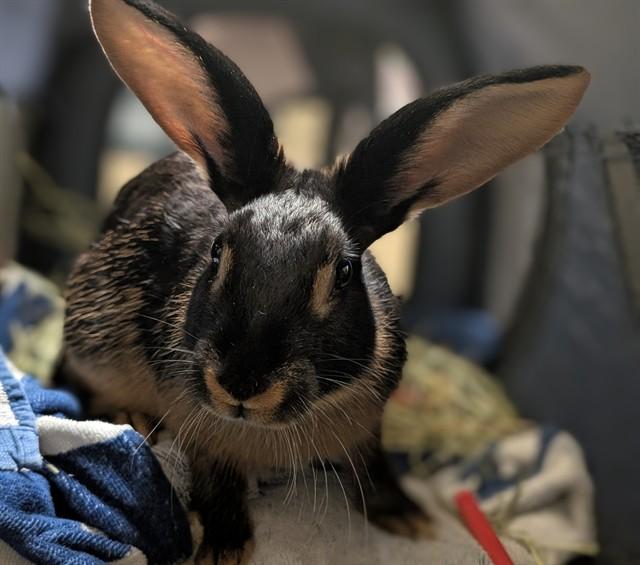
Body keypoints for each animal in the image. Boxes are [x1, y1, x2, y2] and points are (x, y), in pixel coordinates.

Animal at [63, 0, 590, 562]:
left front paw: (407, 518)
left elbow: (374, 467)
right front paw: (226, 547)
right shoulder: (199, 433)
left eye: (343, 272)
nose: (242, 384)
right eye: (218, 252)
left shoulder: (368, 428)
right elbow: (216, 482)